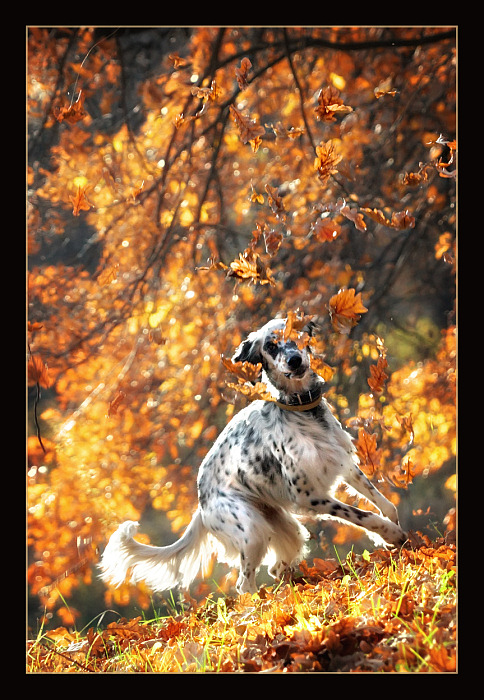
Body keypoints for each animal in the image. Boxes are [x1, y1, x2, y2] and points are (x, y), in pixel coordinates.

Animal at [100, 318, 406, 596]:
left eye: (296, 336)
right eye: (270, 346)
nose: (294, 360)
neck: (302, 410)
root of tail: (202, 505)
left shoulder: (343, 462)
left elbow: (384, 503)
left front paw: (394, 533)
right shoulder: (309, 497)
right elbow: (363, 514)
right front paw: (390, 534)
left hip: (288, 528)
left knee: (276, 568)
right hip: (252, 531)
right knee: (244, 584)